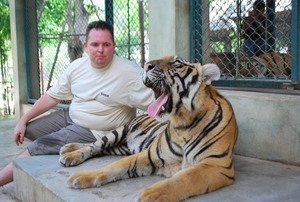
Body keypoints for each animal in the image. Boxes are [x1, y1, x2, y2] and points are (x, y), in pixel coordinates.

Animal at [59, 55, 239, 202]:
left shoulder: (216, 165)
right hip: (118, 132)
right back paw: (70, 153)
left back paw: (67, 149)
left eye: (176, 62)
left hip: (120, 147)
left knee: (100, 148)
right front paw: (82, 176)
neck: (183, 123)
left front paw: (152, 194)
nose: (146, 65)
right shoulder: (149, 154)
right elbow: (114, 167)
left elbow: (184, 178)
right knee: (94, 145)